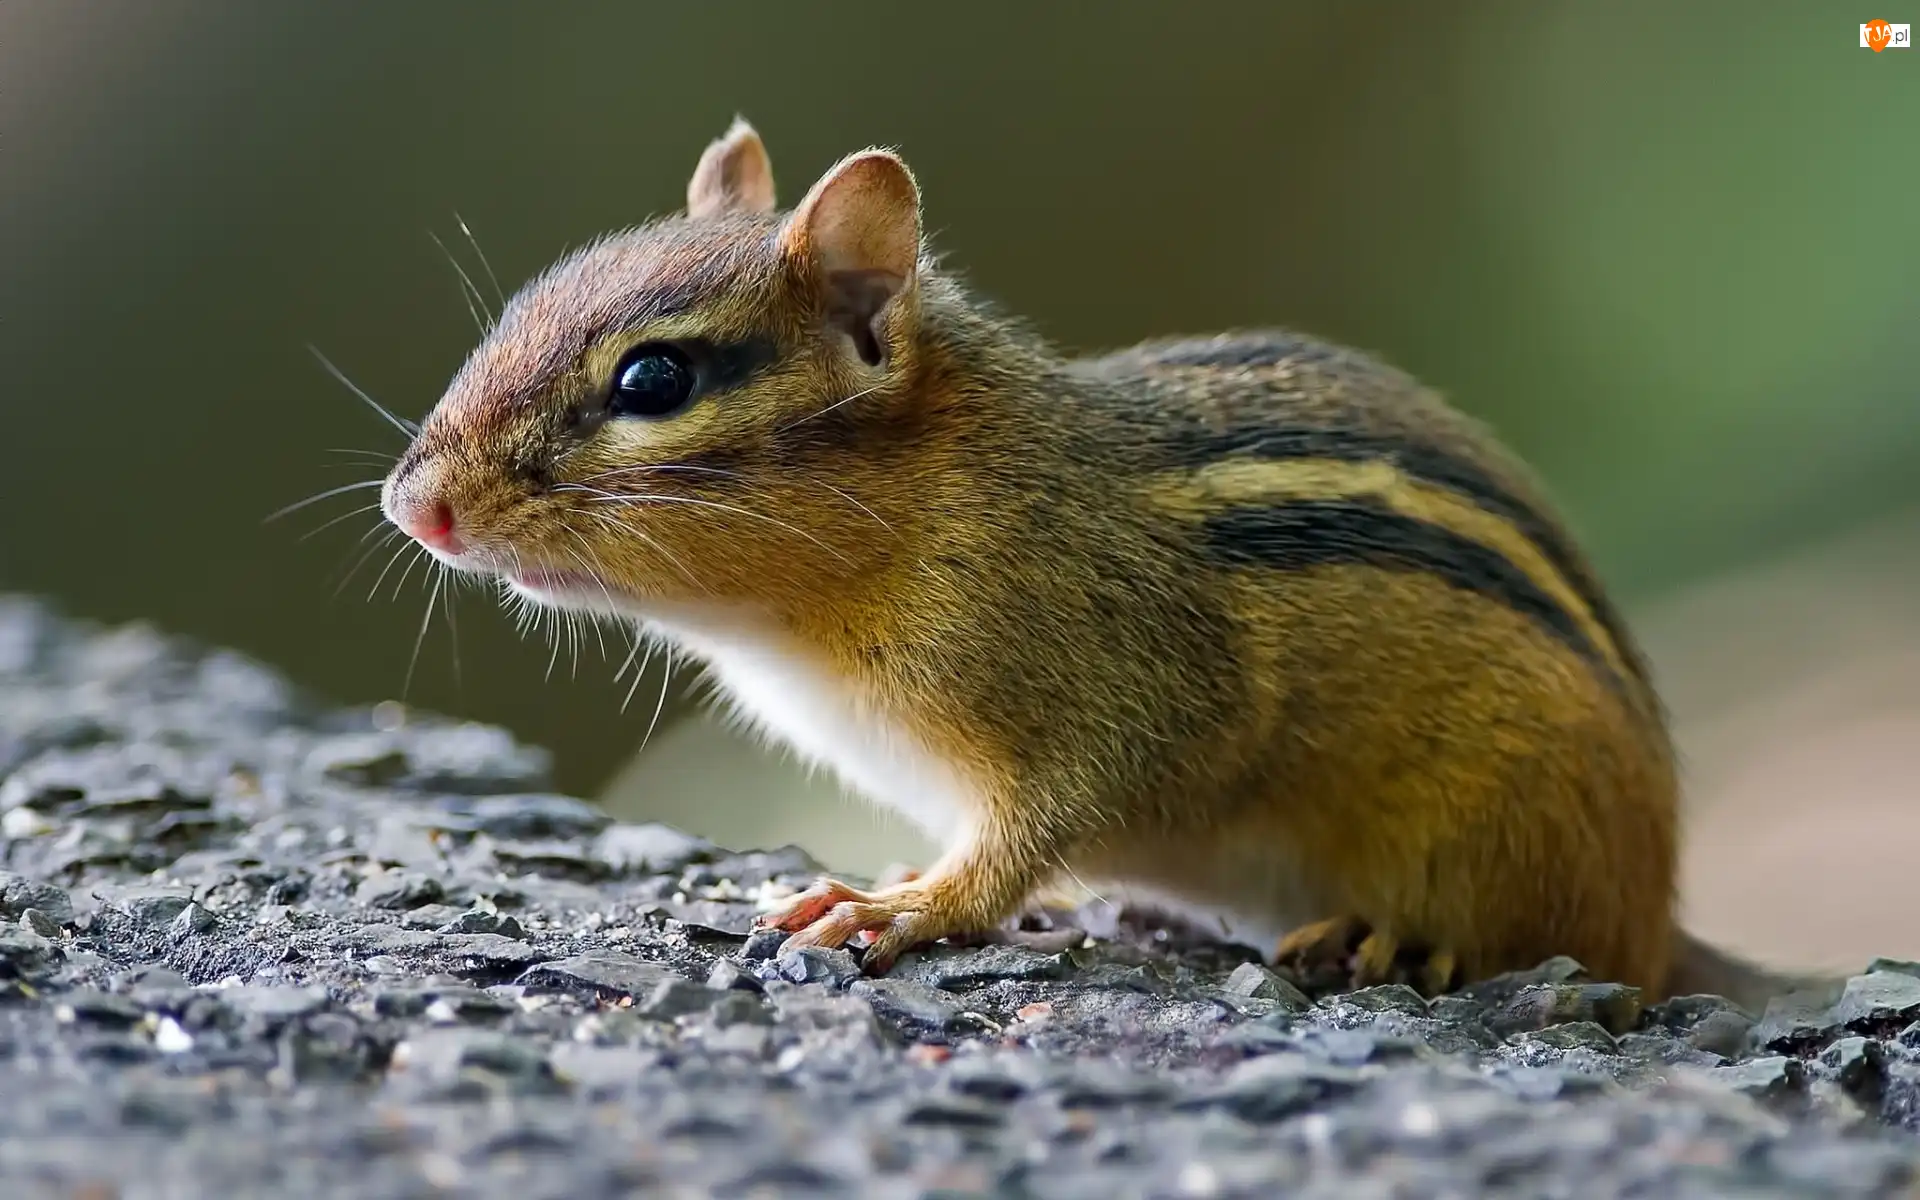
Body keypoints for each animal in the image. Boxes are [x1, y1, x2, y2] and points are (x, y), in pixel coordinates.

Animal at [379, 118, 1827, 1012]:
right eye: (520, 308)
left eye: (655, 380)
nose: (414, 507)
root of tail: (1659, 914)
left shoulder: (1121, 691)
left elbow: (1038, 832)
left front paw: (905, 906)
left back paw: (1393, 937)